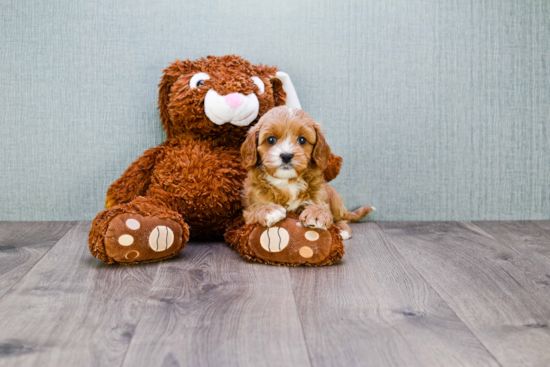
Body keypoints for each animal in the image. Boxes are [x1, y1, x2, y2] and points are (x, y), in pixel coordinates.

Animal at [242, 106, 376, 240]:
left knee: (341, 218)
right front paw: (269, 209)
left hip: (334, 197)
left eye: (302, 140)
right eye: (271, 140)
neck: (287, 180)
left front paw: (316, 213)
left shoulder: (318, 196)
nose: (286, 156)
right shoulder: (250, 205)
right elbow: (255, 208)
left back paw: (342, 231)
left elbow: (322, 208)